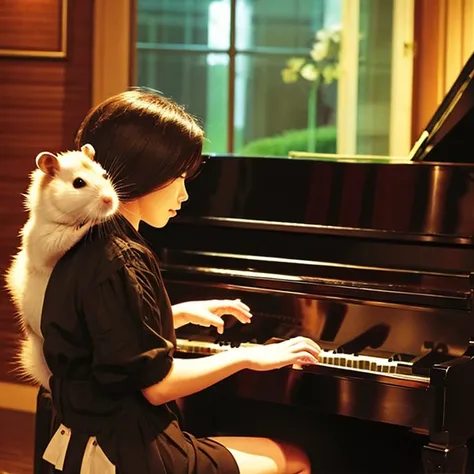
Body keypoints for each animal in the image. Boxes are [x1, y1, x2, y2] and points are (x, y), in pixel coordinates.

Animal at [4, 144, 119, 388]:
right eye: (78, 183)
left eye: (105, 175)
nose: (110, 201)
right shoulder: (47, 241)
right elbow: (66, 238)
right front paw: (91, 224)